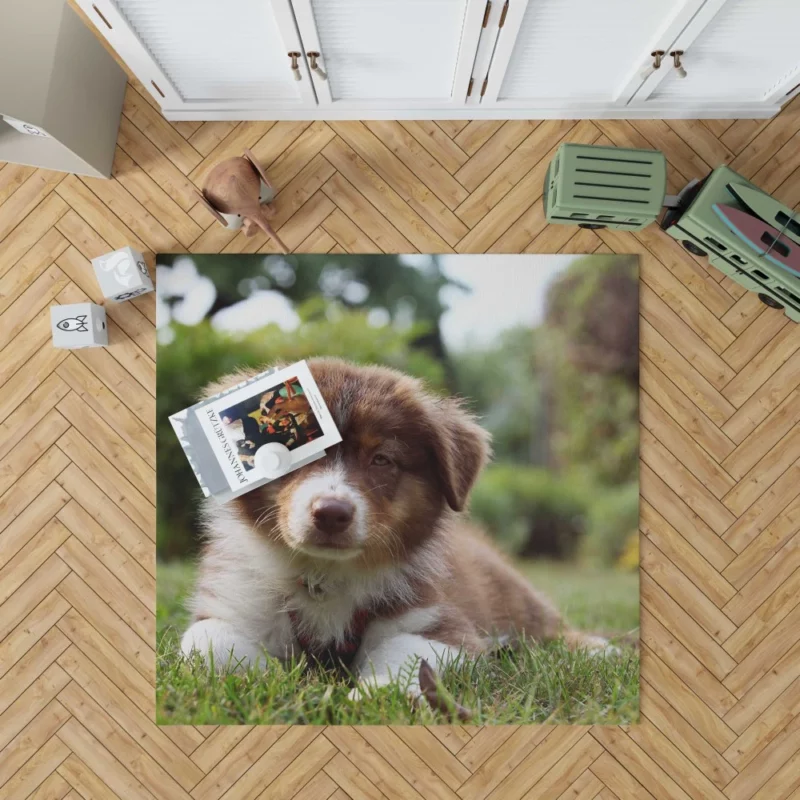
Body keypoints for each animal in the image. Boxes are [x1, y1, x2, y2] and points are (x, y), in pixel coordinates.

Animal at [180, 358, 608, 692]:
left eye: (382, 459)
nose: (331, 513)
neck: (325, 577)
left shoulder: (440, 623)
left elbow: (405, 654)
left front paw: (370, 695)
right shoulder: (235, 603)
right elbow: (207, 642)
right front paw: (269, 681)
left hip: (510, 591)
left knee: (548, 625)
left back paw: (600, 649)